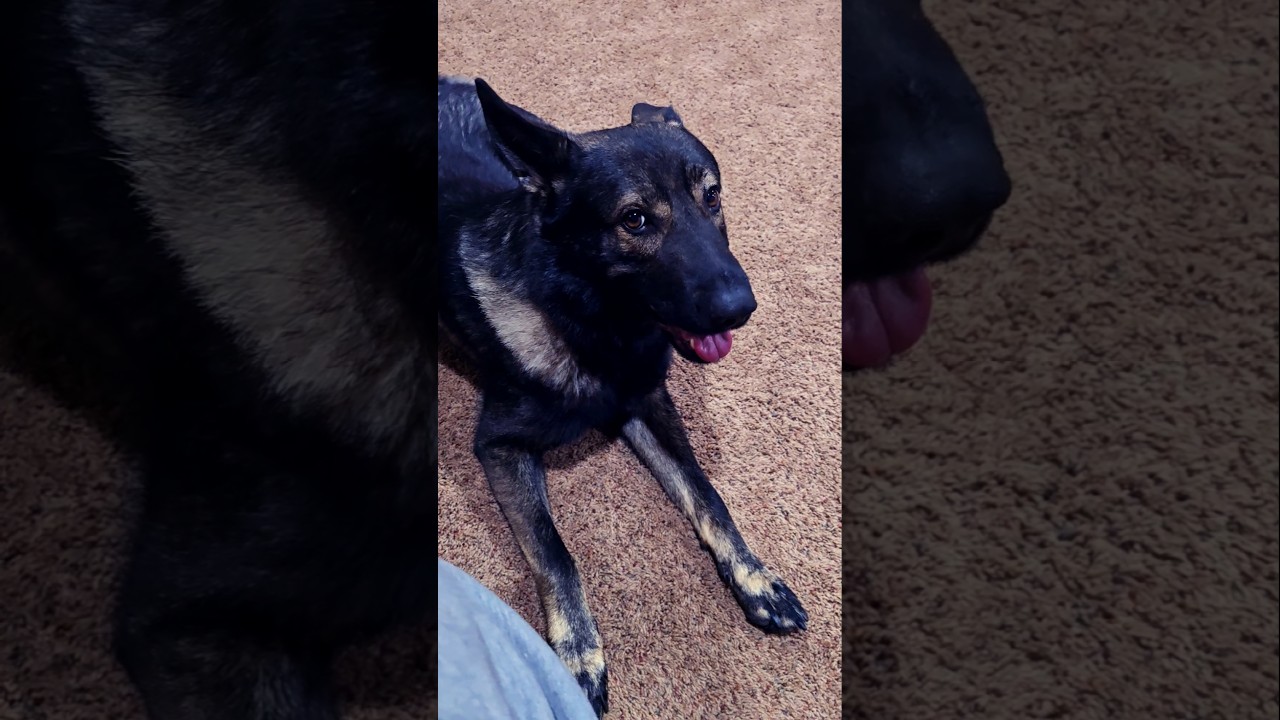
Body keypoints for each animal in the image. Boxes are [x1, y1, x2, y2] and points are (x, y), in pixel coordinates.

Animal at [438, 76, 809, 716]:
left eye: (713, 196)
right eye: (634, 220)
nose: (741, 309)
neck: (595, 324)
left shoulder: (647, 404)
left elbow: (707, 494)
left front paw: (754, 576)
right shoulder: (500, 446)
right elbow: (555, 551)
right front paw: (577, 650)